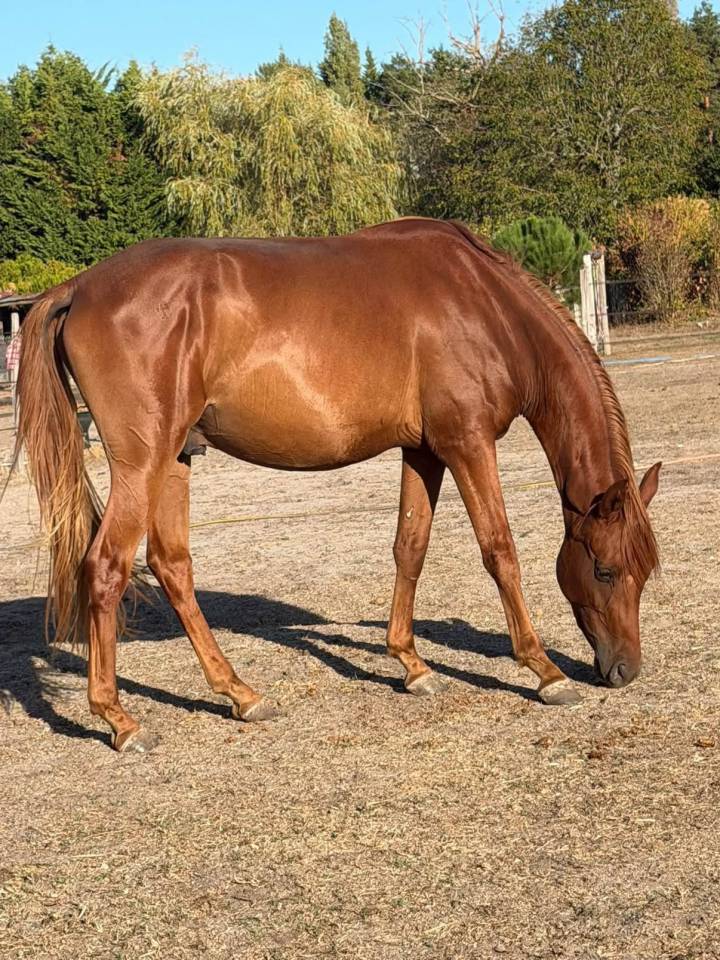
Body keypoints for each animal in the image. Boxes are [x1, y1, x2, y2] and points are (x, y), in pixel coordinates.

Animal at [15, 218, 661, 753]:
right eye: (605, 570)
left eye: (645, 570)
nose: (625, 670)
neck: (486, 305)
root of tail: (79, 288)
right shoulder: (469, 444)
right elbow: (500, 551)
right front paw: (544, 671)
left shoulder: (423, 452)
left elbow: (410, 548)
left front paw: (411, 665)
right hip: (142, 464)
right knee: (107, 568)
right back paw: (121, 720)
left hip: (176, 458)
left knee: (172, 566)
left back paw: (240, 694)